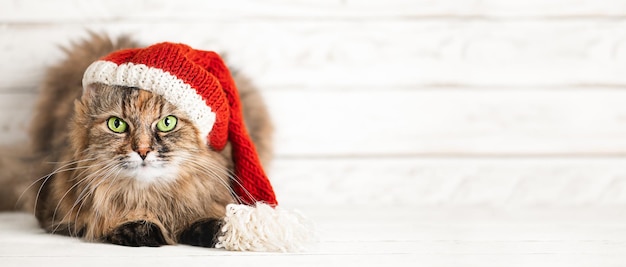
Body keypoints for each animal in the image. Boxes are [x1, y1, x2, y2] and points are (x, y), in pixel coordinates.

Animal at [0, 34, 272, 248]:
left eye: (167, 123)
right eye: (117, 125)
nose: (142, 150)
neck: (150, 197)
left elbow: (206, 217)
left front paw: (214, 229)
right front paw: (136, 226)